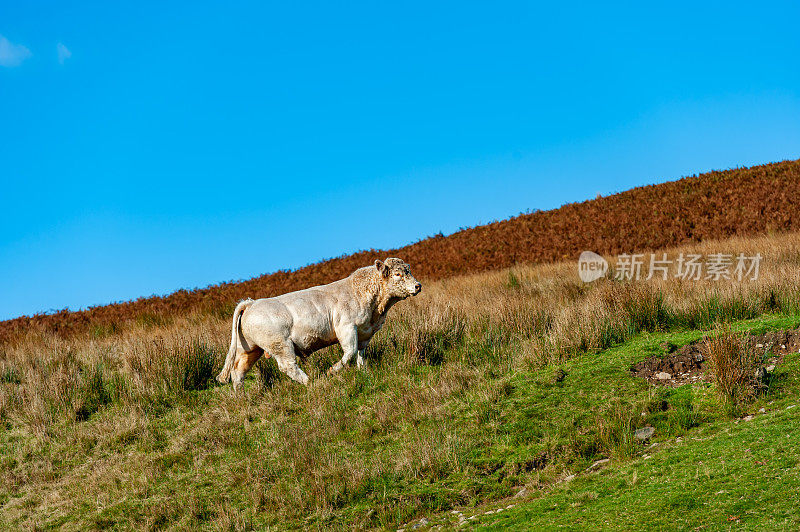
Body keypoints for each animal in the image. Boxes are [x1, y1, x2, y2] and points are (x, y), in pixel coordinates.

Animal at [216, 256, 422, 388]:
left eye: (409, 271)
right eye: (397, 274)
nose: (418, 286)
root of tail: (251, 303)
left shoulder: (366, 332)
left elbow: (361, 355)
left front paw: (364, 372)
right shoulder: (346, 328)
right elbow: (350, 352)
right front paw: (332, 371)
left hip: (249, 349)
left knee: (238, 372)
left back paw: (242, 397)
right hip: (280, 345)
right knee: (287, 366)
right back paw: (310, 382)